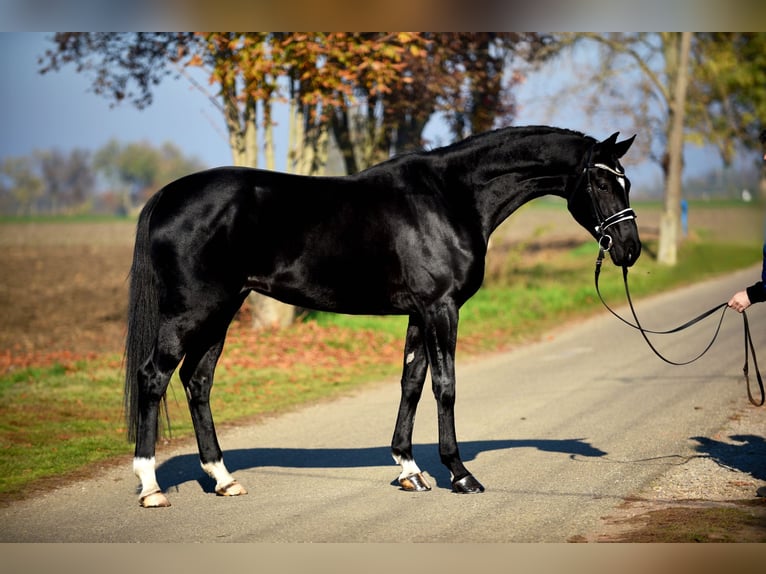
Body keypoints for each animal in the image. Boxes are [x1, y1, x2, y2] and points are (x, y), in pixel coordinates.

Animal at [126, 125, 640, 508]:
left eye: (627, 181)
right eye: (600, 182)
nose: (630, 249)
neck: (450, 197)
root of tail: (168, 196)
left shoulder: (419, 312)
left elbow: (411, 383)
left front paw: (410, 470)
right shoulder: (441, 308)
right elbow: (445, 386)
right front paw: (459, 474)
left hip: (221, 311)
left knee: (197, 381)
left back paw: (224, 479)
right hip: (192, 310)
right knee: (153, 376)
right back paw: (151, 487)